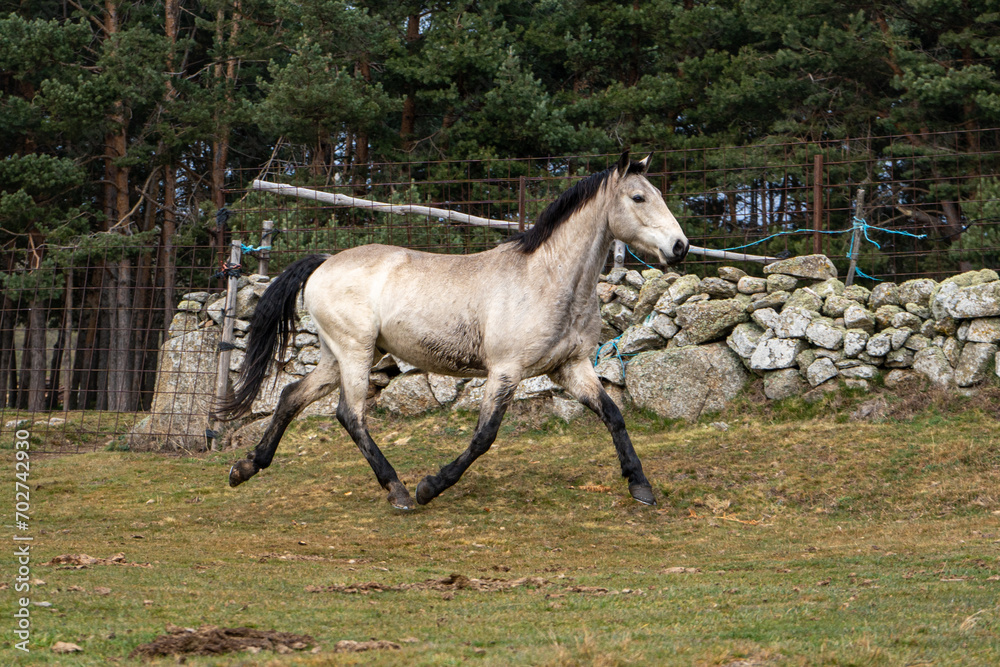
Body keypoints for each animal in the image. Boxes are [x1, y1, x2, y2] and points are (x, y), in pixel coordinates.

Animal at [217, 151, 688, 512]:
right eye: (639, 196)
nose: (680, 247)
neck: (548, 279)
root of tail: (324, 262)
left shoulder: (571, 368)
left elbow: (613, 414)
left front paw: (641, 487)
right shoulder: (505, 371)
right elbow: (484, 437)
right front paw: (430, 487)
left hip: (341, 355)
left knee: (290, 395)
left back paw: (245, 468)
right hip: (355, 353)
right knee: (350, 415)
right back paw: (399, 492)